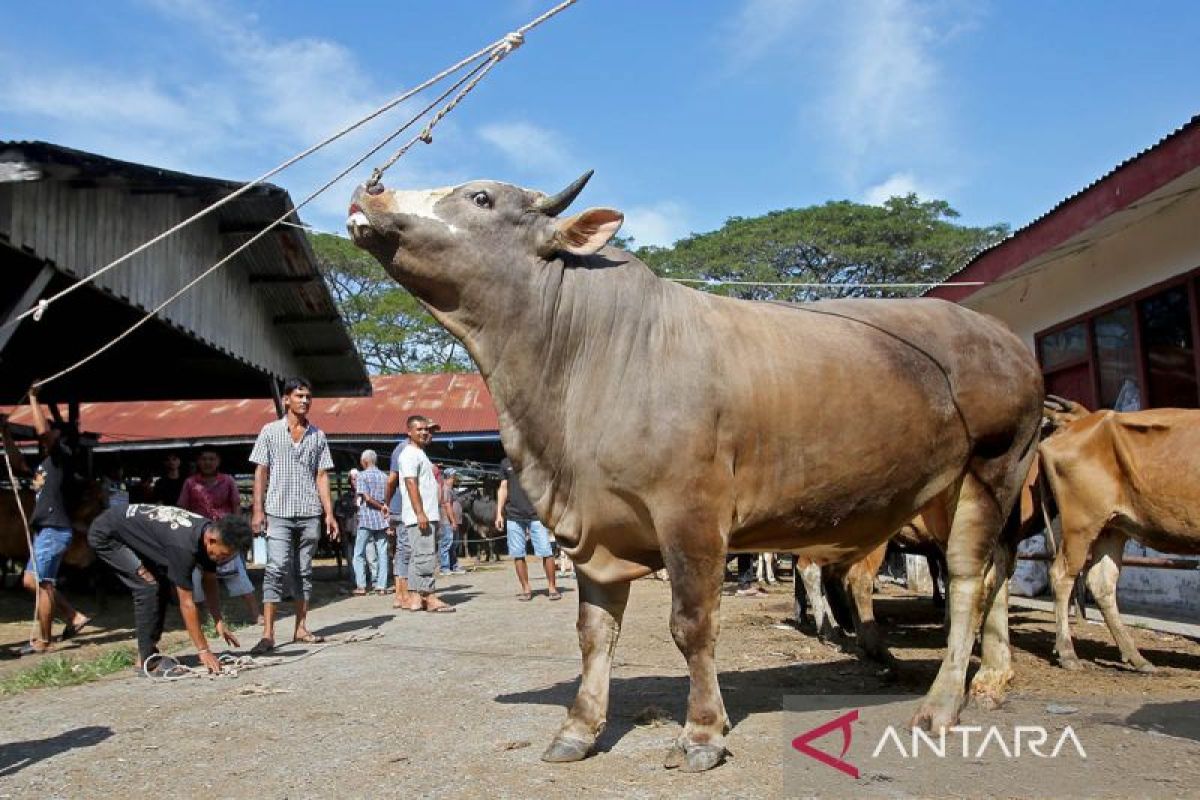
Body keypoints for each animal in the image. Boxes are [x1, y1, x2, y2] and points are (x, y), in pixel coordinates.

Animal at [345, 172, 1041, 772]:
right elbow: (594, 632)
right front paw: (578, 728)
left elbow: (692, 625)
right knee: (994, 576)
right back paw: (989, 679)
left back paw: (942, 704)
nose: (368, 189)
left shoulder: (693, 514)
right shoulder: (594, 525)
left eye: (481, 197)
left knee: (969, 580)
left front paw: (703, 732)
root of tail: (1003, 337)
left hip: (994, 469)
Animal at [1041, 398, 1200, 671]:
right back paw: (1068, 654)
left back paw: (1137, 658)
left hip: (1112, 526)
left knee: (1101, 581)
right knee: (1062, 575)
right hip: (1081, 523)